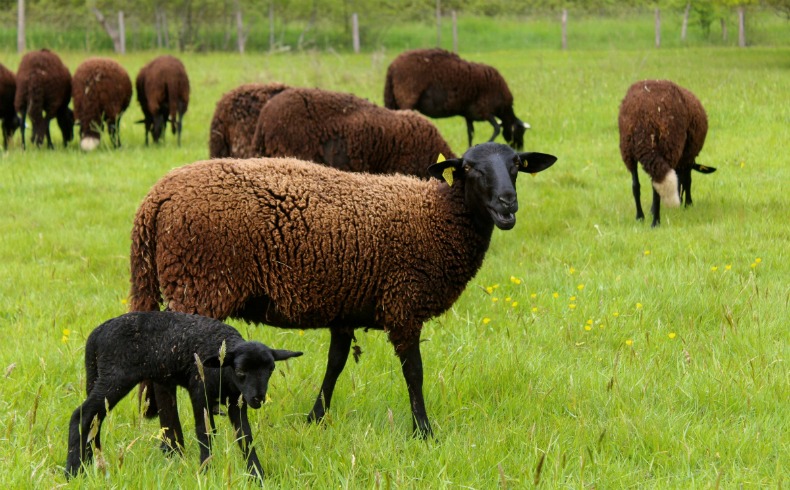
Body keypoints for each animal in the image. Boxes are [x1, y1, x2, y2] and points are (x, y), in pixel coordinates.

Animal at [65, 310, 302, 481]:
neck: (223, 371)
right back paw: (73, 471)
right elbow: (204, 433)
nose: (258, 399)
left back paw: (90, 463)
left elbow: (245, 437)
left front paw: (256, 475)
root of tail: (96, 334)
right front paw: (206, 470)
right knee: (81, 415)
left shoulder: (237, 401)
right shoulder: (199, 393)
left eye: (271, 370)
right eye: (241, 371)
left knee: (94, 419)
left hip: (102, 377)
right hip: (115, 377)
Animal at [129, 142, 557, 439]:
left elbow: (334, 365)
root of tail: (157, 196)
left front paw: (315, 418)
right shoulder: (404, 302)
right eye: (468, 167)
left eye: (516, 164)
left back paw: (171, 442)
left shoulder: (347, 306)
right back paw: (179, 444)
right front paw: (424, 431)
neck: (438, 216)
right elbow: (414, 373)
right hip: (200, 283)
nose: (507, 203)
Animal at [384, 48, 530, 150]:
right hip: (406, 97)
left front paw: (470, 148)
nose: (520, 149)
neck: (503, 108)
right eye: (520, 132)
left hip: (394, 99)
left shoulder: (469, 114)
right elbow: (497, 129)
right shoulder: (485, 110)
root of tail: (392, 67)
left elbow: (470, 133)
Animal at [618, 79, 716, 227]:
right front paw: (644, 218)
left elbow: (645, 188)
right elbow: (637, 187)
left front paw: (648, 219)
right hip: (675, 151)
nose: (679, 202)